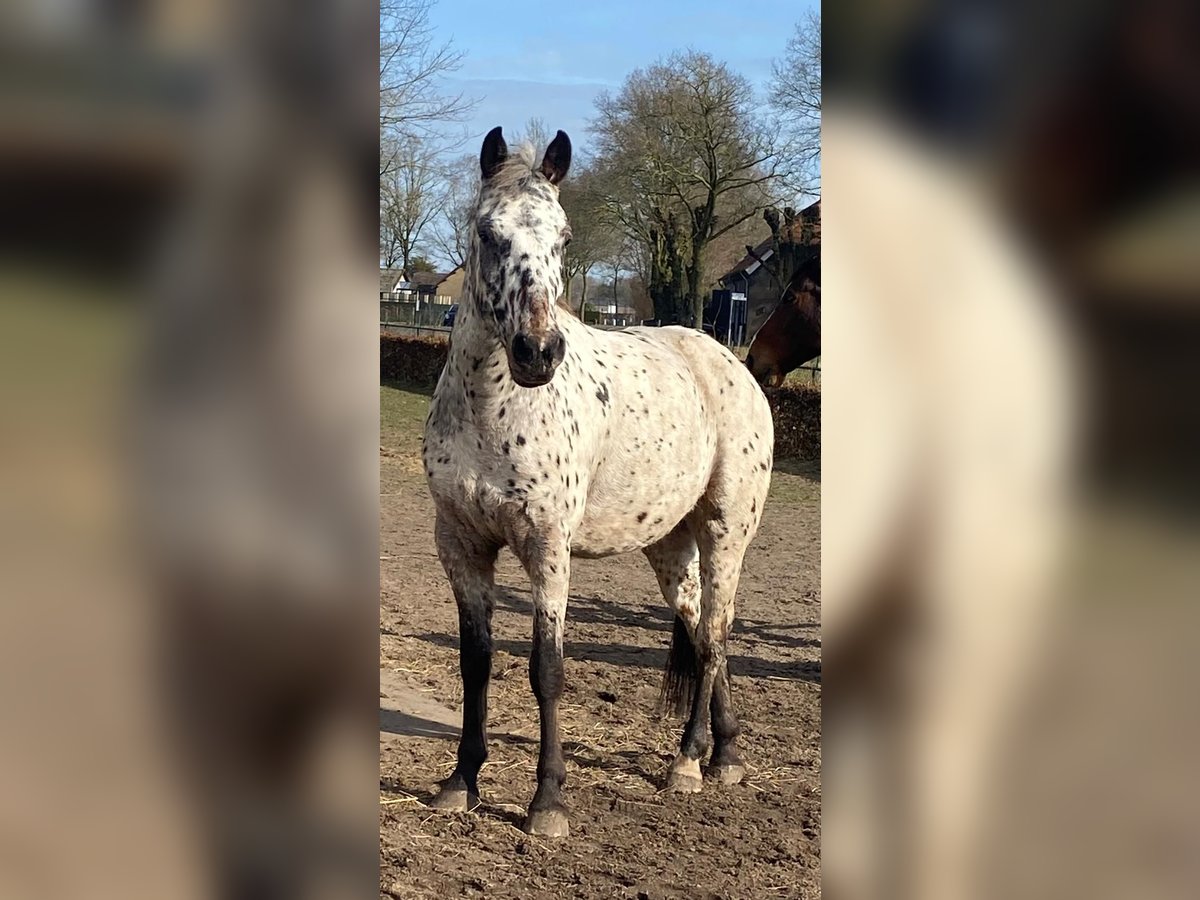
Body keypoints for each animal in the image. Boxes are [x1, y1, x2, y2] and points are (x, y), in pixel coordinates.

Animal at [422, 127, 772, 840]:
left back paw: (688, 763)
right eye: (488, 232)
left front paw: (548, 802)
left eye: (563, 237)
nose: (538, 352)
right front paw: (461, 781)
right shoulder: (461, 544)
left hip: (726, 535)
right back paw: (725, 755)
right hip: (670, 546)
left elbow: (547, 670)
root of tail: (731, 364)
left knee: (718, 633)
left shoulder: (547, 550)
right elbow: (477, 660)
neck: (489, 413)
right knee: (704, 633)